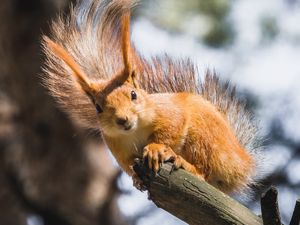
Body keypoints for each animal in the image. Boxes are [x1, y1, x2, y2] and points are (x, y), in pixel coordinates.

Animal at [41, 0, 258, 193]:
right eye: (98, 107)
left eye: (133, 94)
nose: (122, 119)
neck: (135, 131)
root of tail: (242, 162)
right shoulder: (119, 149)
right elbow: (129, 165)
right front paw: (137, 179)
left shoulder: (169, 111)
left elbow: (171, 128)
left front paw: (155, 148)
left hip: (204, 137)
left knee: (204, 171)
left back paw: (184, 163)